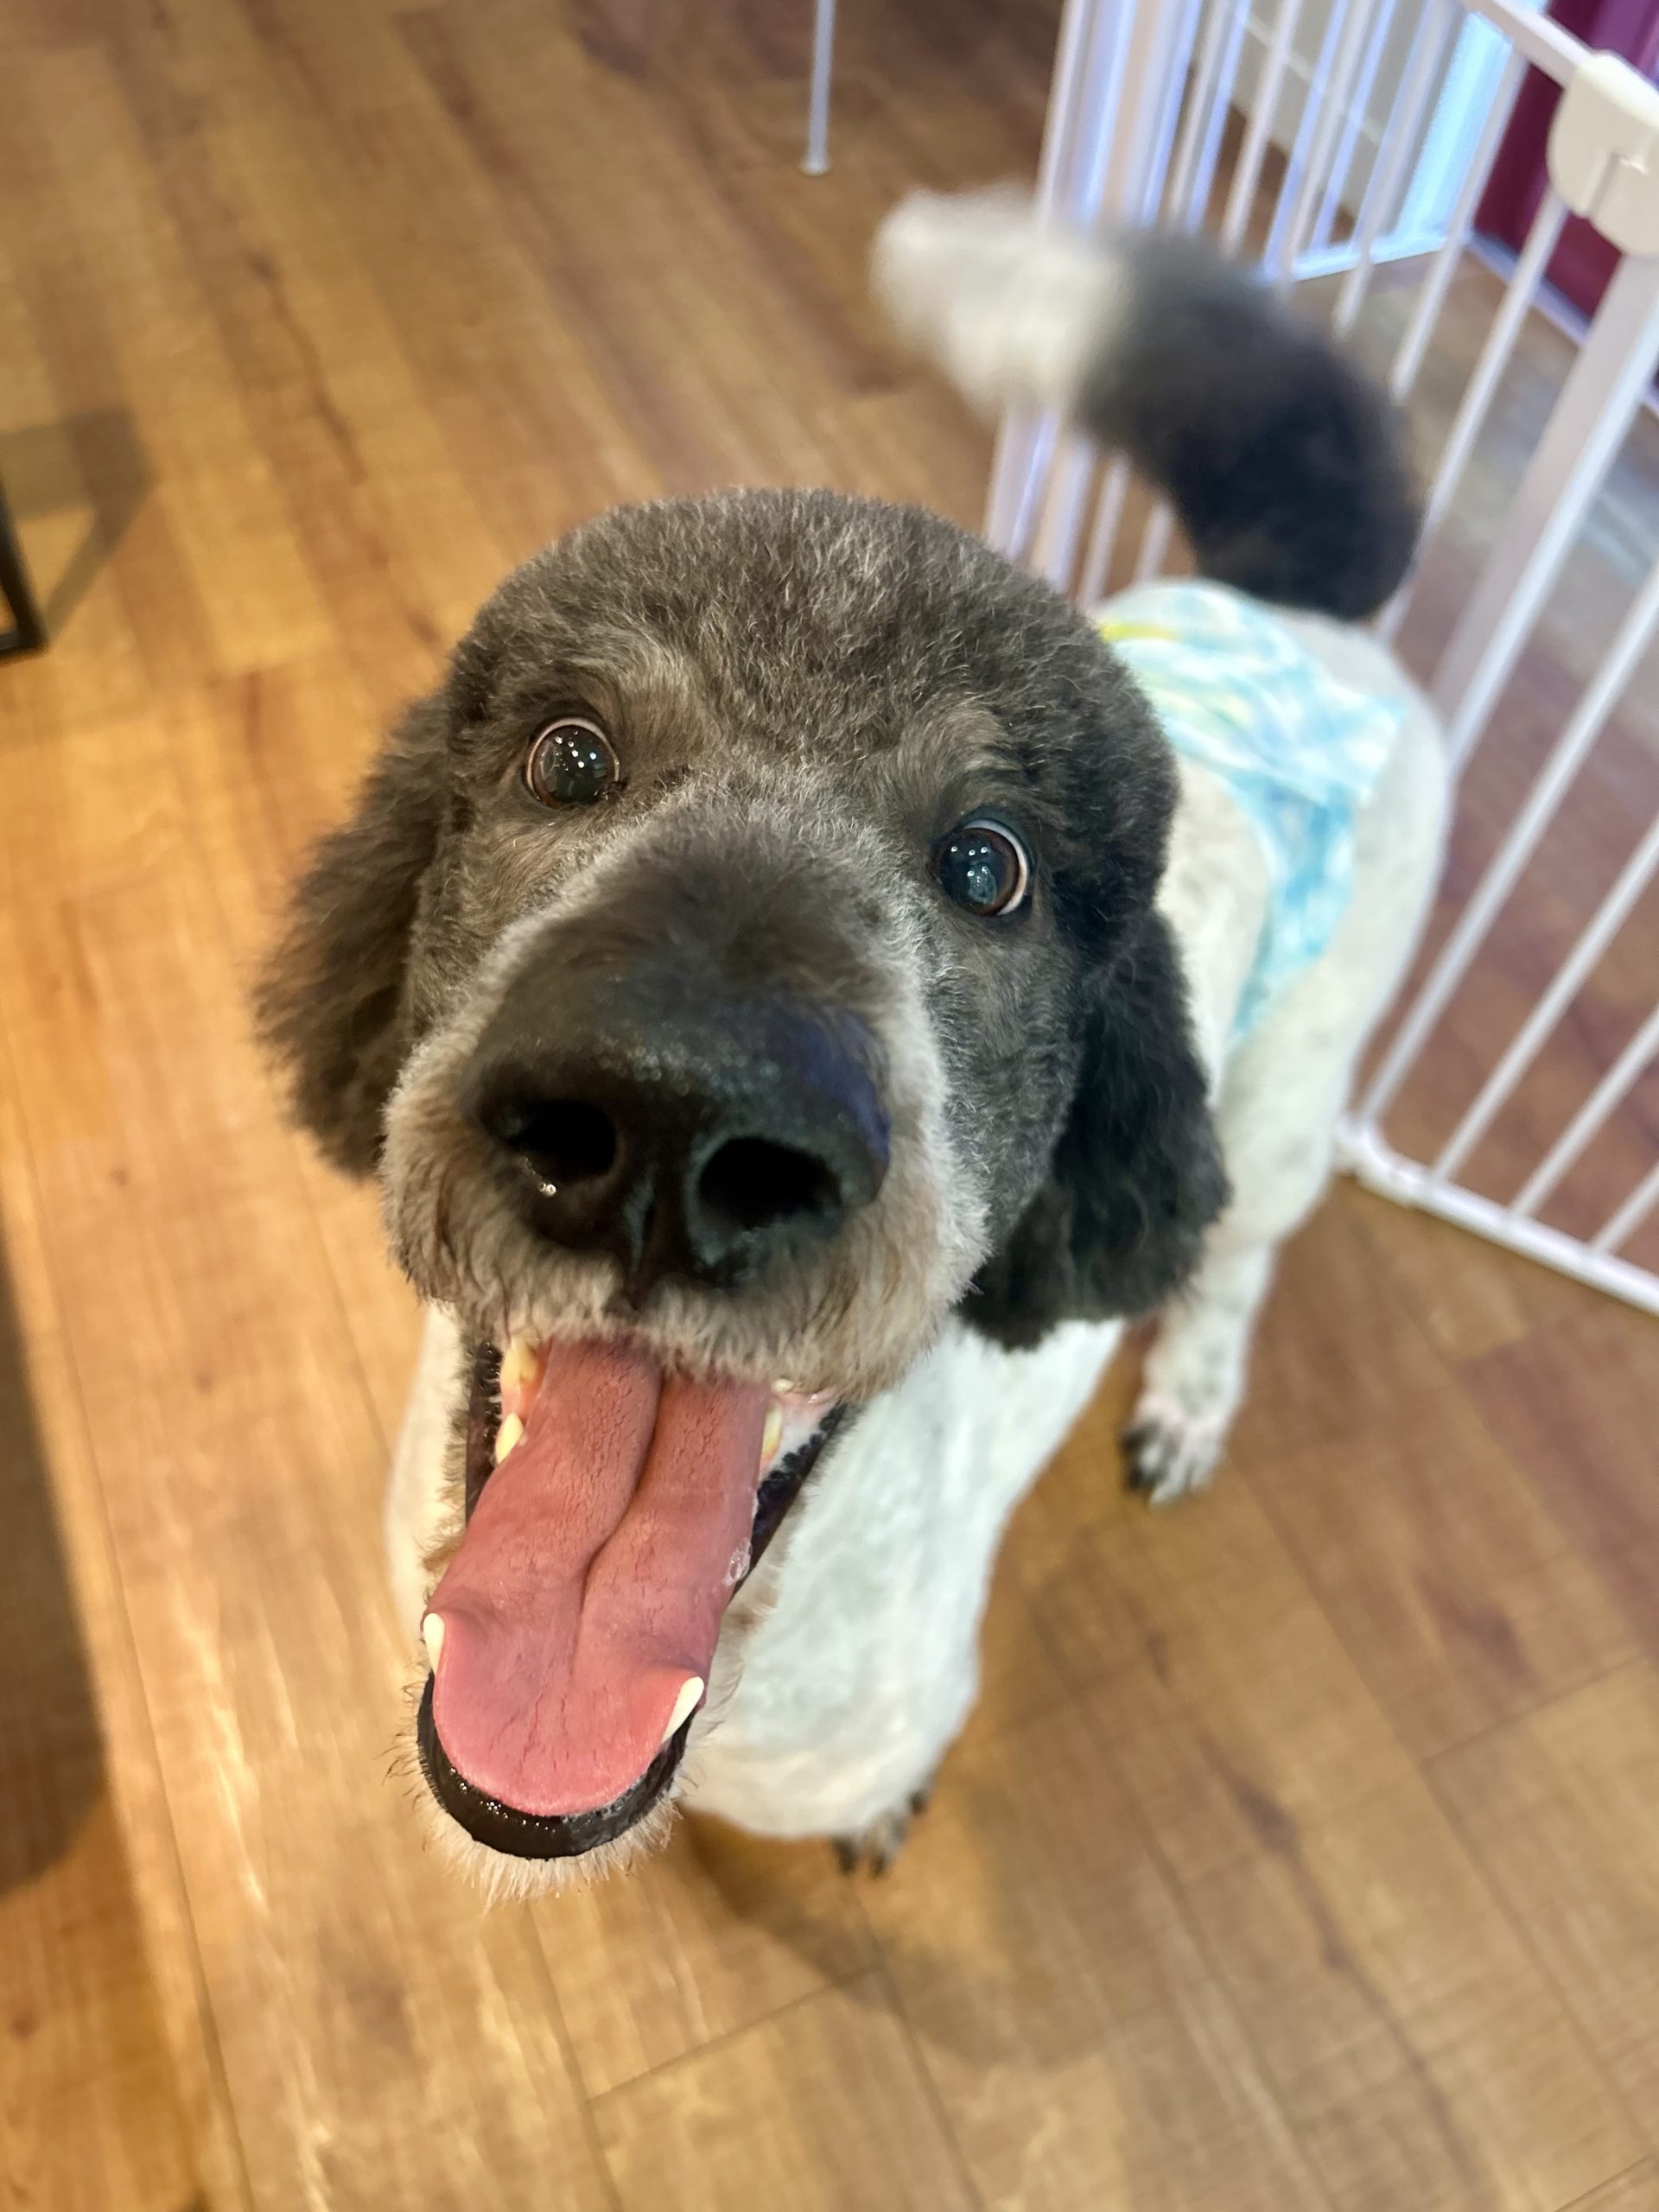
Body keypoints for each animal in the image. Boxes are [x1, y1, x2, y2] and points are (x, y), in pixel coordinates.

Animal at [258, 191, 1447, 1893]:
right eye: (570, 757)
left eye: (990, 866)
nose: (672, 1120)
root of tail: (1294, 605)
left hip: (1291, 1099)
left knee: (1238, 1259)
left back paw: (1188, 1400)